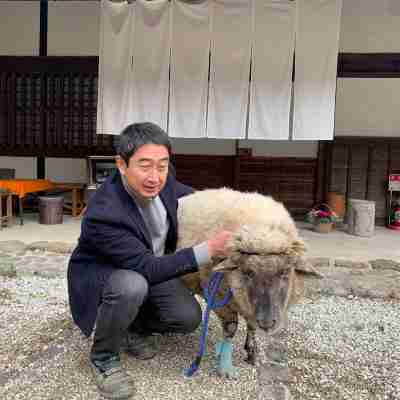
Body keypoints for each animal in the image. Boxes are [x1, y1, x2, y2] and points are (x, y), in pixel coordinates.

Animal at [177, 188, 320, 378]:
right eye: (248, 273)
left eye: (284, 272)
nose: (267, 323)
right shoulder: (220, 298)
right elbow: (231, 329)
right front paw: (225, 366)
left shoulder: (248, 306)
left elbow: (251, 325)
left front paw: (252, 351)